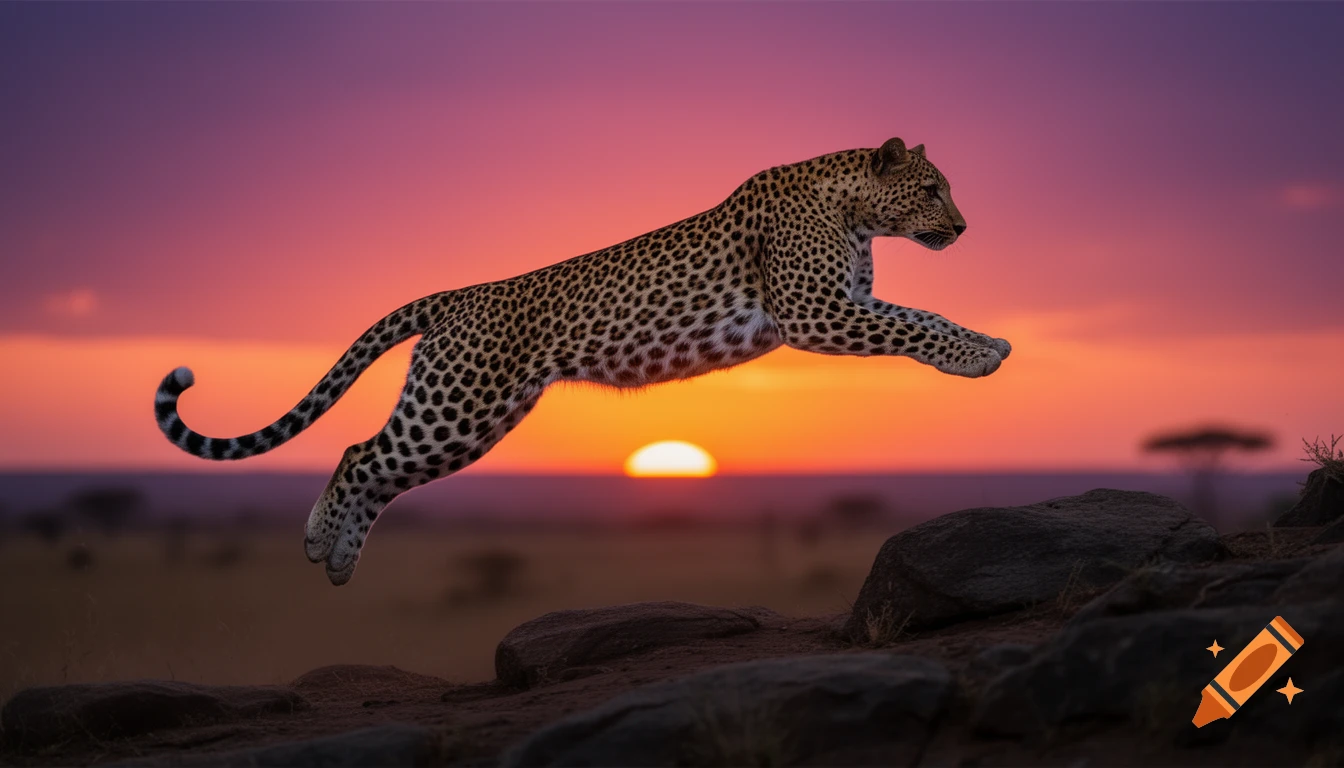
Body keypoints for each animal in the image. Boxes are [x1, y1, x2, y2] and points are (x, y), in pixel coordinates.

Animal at [155, 137, 1011, 585]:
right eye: (931, 190)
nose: (965, 228)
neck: (854, 207)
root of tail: (460, 294)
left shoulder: (836, 306)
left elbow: (909, 316)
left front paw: (982, 347)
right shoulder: (816, 310)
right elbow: (918, 321)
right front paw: (982, 352)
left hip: (474, 417)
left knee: (376, 464)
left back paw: (337, 561)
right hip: (457, 405)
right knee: (361, 453)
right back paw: (317, 544)